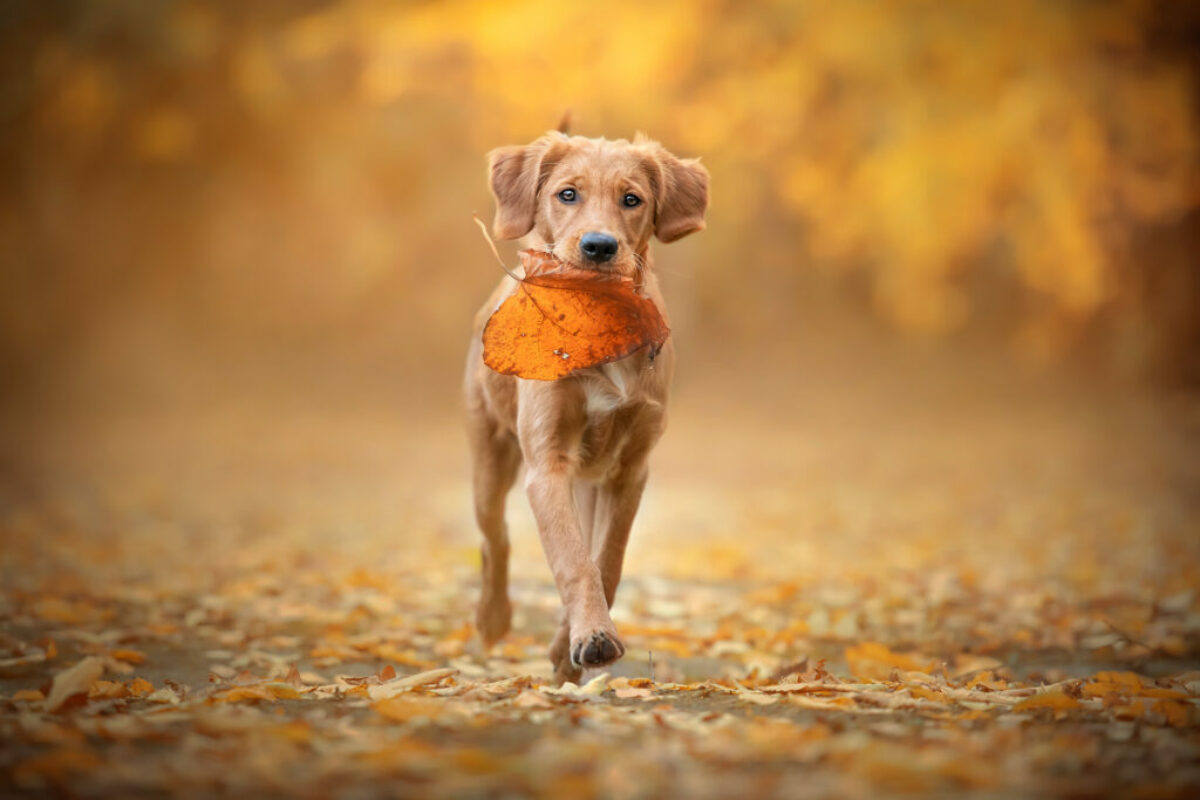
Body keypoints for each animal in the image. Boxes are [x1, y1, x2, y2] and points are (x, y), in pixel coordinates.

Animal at [463, 130, 705, 681]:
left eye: (632, 199)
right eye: (567, 194)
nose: (599, 246)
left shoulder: (630, 470)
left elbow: (605, 559)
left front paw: (578, 641)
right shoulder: (547, 463)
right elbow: (573, 559)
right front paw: (591, 635)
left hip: (591, 480)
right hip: (490, 456)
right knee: (495, 537)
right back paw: (492, 617)